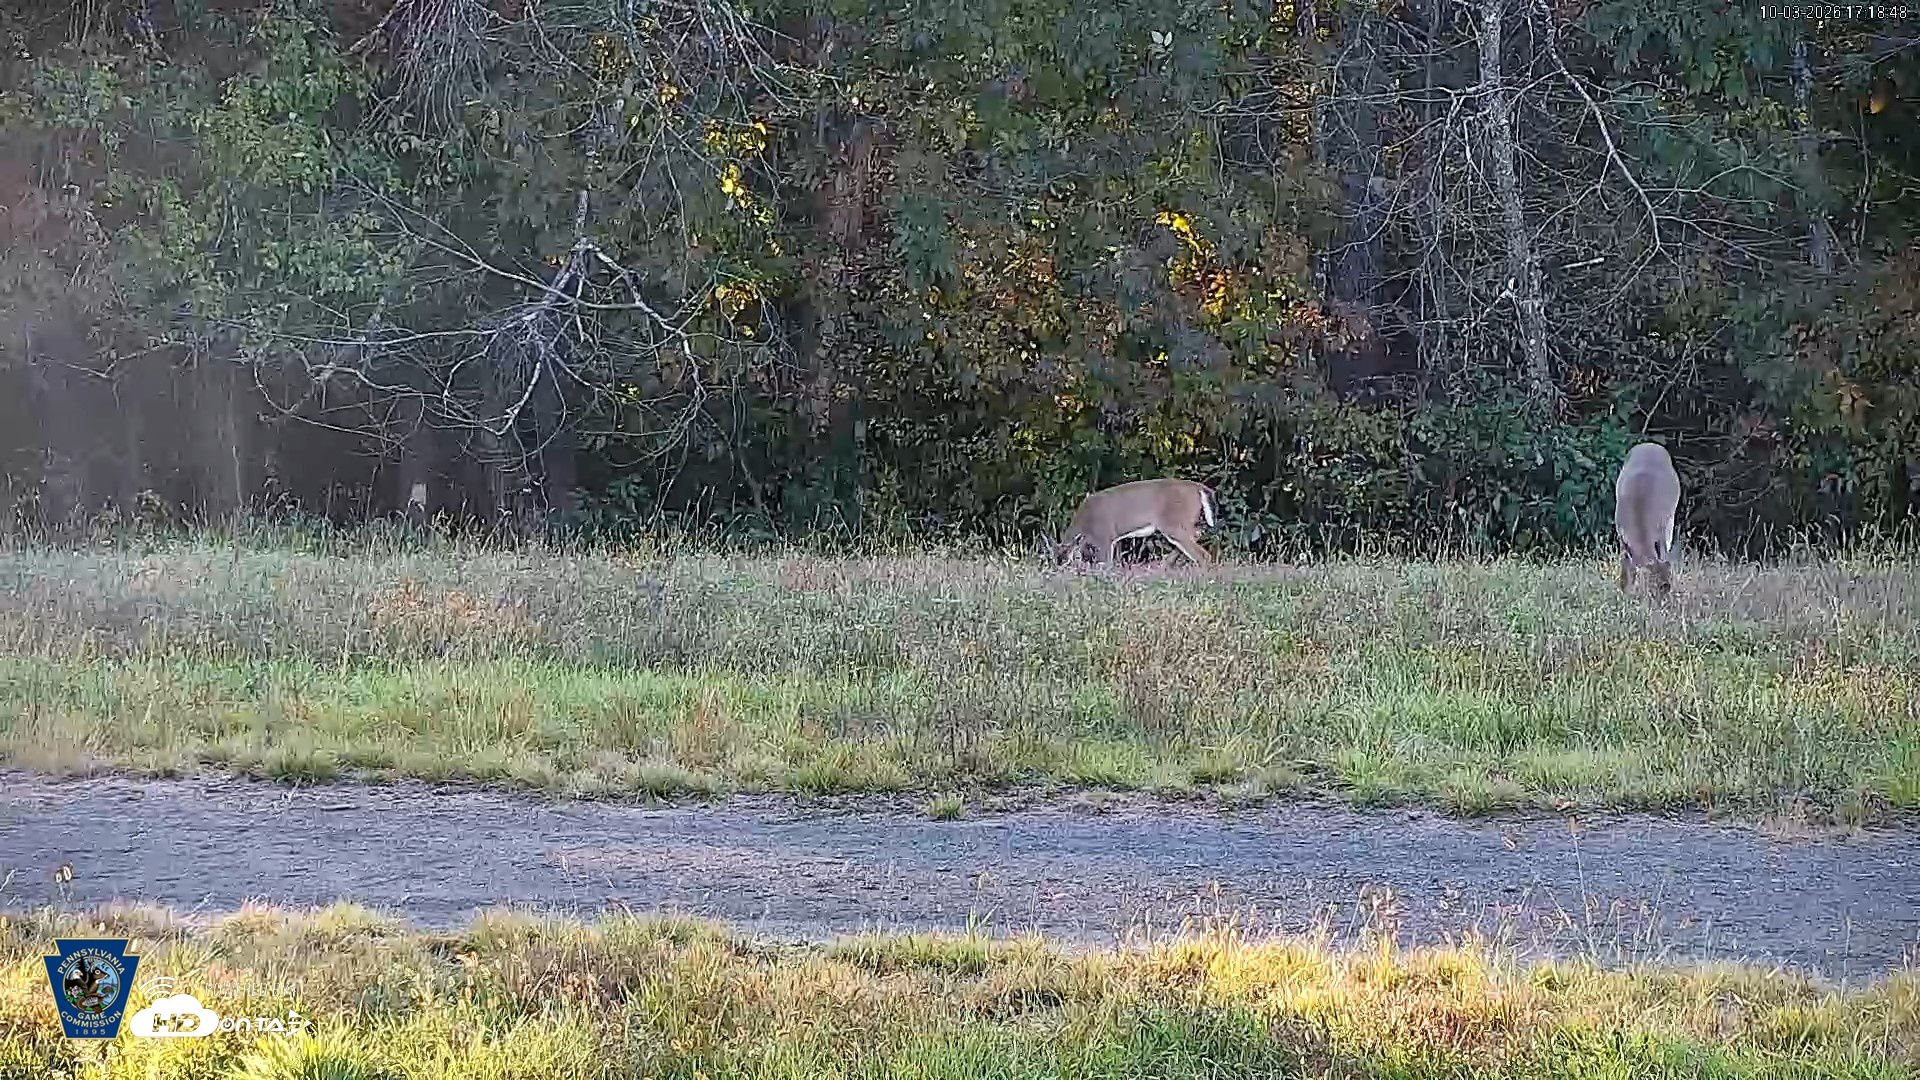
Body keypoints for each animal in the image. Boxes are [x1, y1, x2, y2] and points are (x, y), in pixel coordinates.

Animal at [1052, 478, 1218, 568]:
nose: (1058, 566)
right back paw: (1164, 565)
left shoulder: (1105, 536)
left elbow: (1105, 563)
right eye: (1054, 557)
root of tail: (1200, 488)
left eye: (1063, 557)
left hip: (1173, 523)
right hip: (1187, 523)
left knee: (1202, 554)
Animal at [1613, 441, 1681, 596]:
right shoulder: (1621, 536)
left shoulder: (1661, 532)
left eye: (1669, 586)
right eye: (1654, 587)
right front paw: (1624, 591)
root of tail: (1650, 444)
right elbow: (1626, 564)